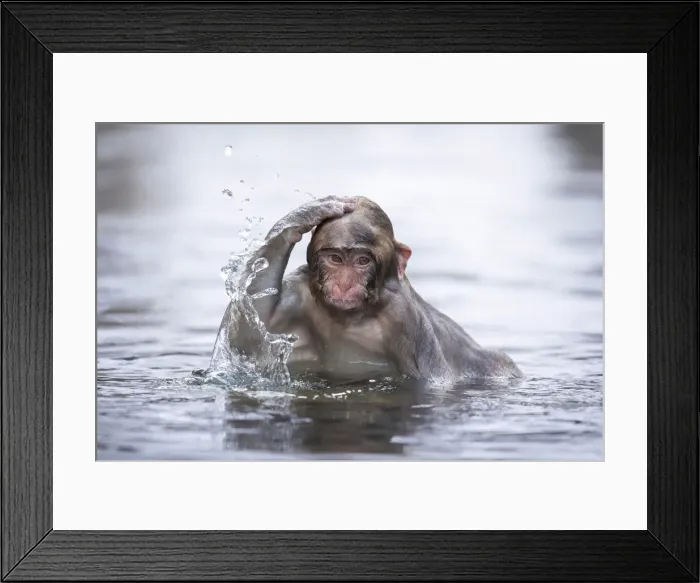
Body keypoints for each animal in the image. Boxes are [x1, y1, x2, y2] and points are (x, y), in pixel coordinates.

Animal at [217, 195, 523, 384]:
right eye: (336, 259)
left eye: (362, 261)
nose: (344, 283)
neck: (352, 317)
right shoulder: (298, 291)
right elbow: (250, 333)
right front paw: (303, 215)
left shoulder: (404, 319)